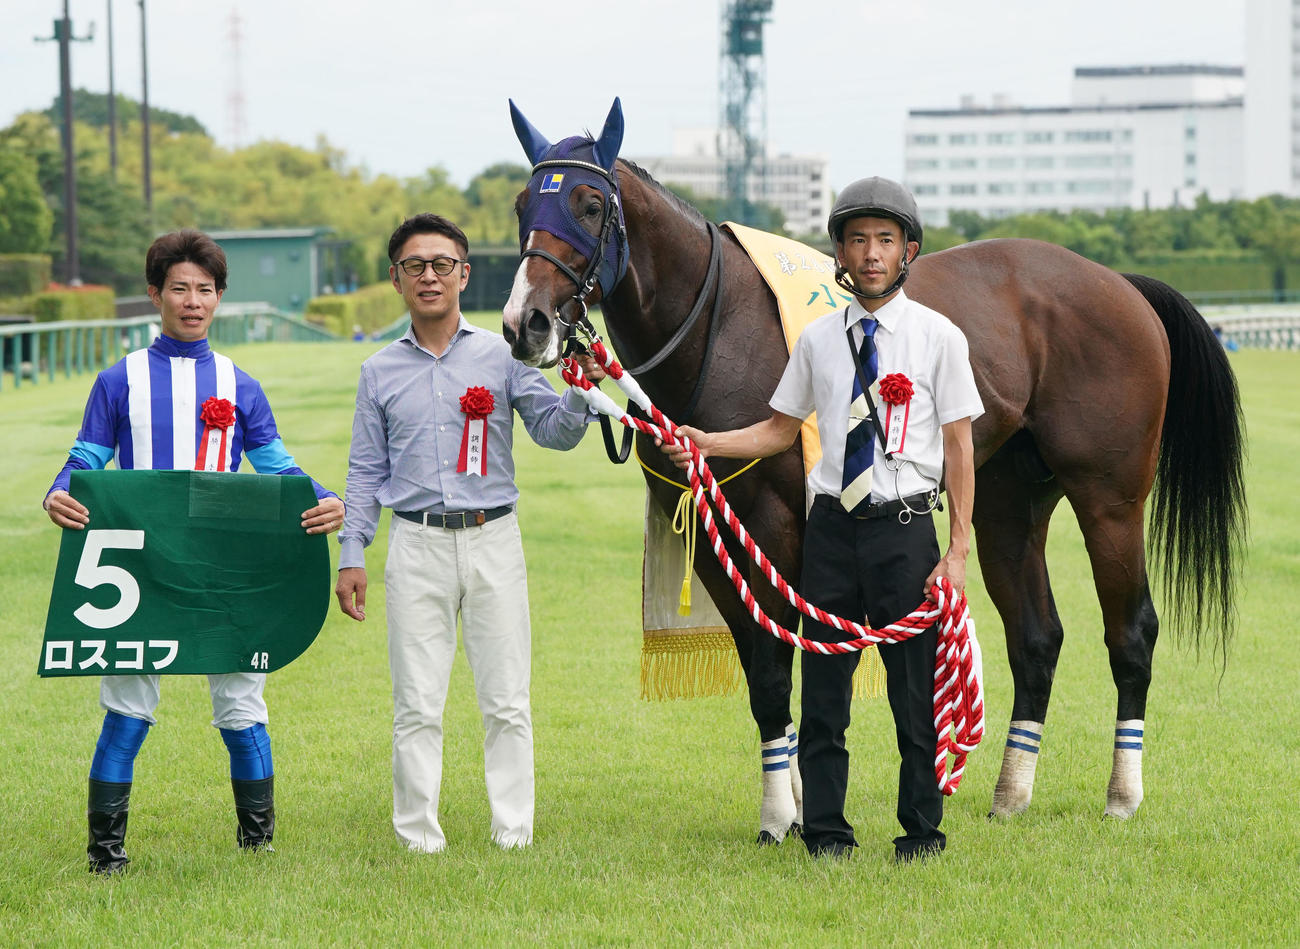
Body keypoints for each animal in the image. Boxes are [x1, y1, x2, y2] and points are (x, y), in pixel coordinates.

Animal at [501, 99, 1246, 842]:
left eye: (590, 202)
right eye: (520, 204)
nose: (523, 322)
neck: (720, 325)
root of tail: (1120, 284)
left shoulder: (781, 523)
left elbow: (787, 659)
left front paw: (788, 810)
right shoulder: (711, 536)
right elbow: (762, 669)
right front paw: (790, 801)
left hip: (1109, 498)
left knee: (1132, 631)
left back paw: (1122, 793)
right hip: (1010, 502)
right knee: (1037, 636)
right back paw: (1011, 792)